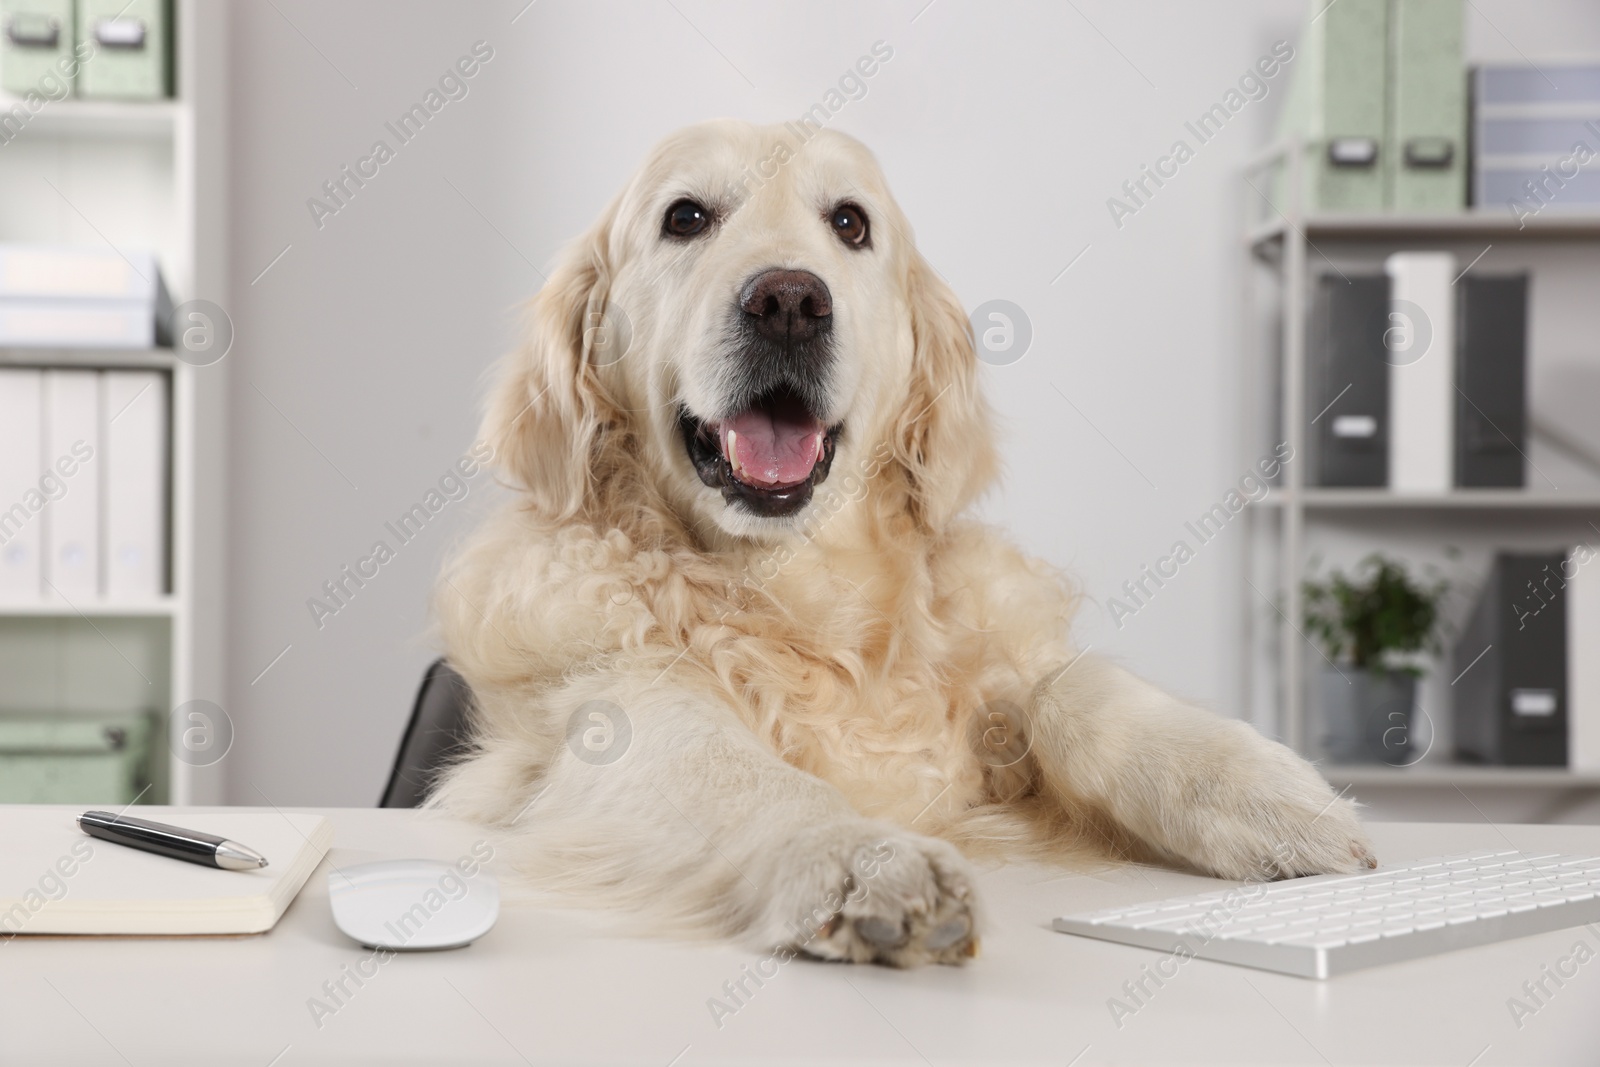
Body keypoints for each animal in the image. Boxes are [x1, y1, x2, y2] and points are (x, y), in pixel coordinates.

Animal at [428, 116, 1376, 966]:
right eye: (686, 216)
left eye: (850, 223)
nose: (788, 302)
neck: (796, 582)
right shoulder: (613, 704)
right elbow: (740, 771)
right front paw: (860, 857)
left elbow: (1071, 686)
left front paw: (1264, 793)